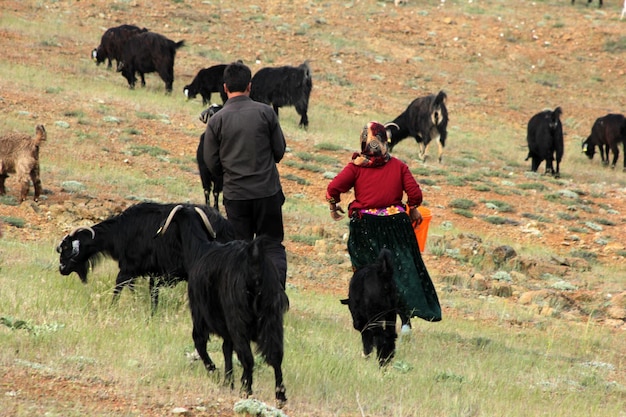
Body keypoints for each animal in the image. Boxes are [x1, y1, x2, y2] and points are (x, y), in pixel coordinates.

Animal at [55, 202, 232, 312]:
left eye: (67, 248)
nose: (61, 269)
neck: (120, 232)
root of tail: (224, 224)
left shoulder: (130, 266)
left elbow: (120, 284)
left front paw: (113, 306)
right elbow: (136, 287)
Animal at [156, 204, 288, 406]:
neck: (199, 251)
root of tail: (254, 259)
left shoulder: (199, 313)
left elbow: (199, 341)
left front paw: (215, 372)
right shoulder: (227, 328)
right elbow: (227, 349)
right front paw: (227, 381)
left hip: (238, 318)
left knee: (247, 358)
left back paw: (246, 390)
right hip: (271, 317)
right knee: (275, 355)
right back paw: (280, 396)